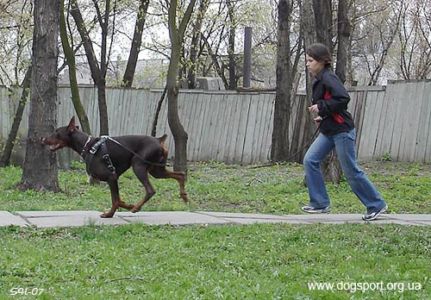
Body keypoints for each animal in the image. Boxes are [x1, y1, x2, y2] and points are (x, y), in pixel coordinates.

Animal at [41, 116, 188, 218]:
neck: (87, 145)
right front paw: (128, 205)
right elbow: (118, 199)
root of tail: (159, 140)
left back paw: (136, 208)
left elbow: (115, 200)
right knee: (181, 175)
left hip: (138, 165)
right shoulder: (113, 178)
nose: (42, 139)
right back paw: (184, 196)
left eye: (56, 132)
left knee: (150, 190)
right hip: (156, 170)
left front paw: (109, 214)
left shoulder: (111, 176)